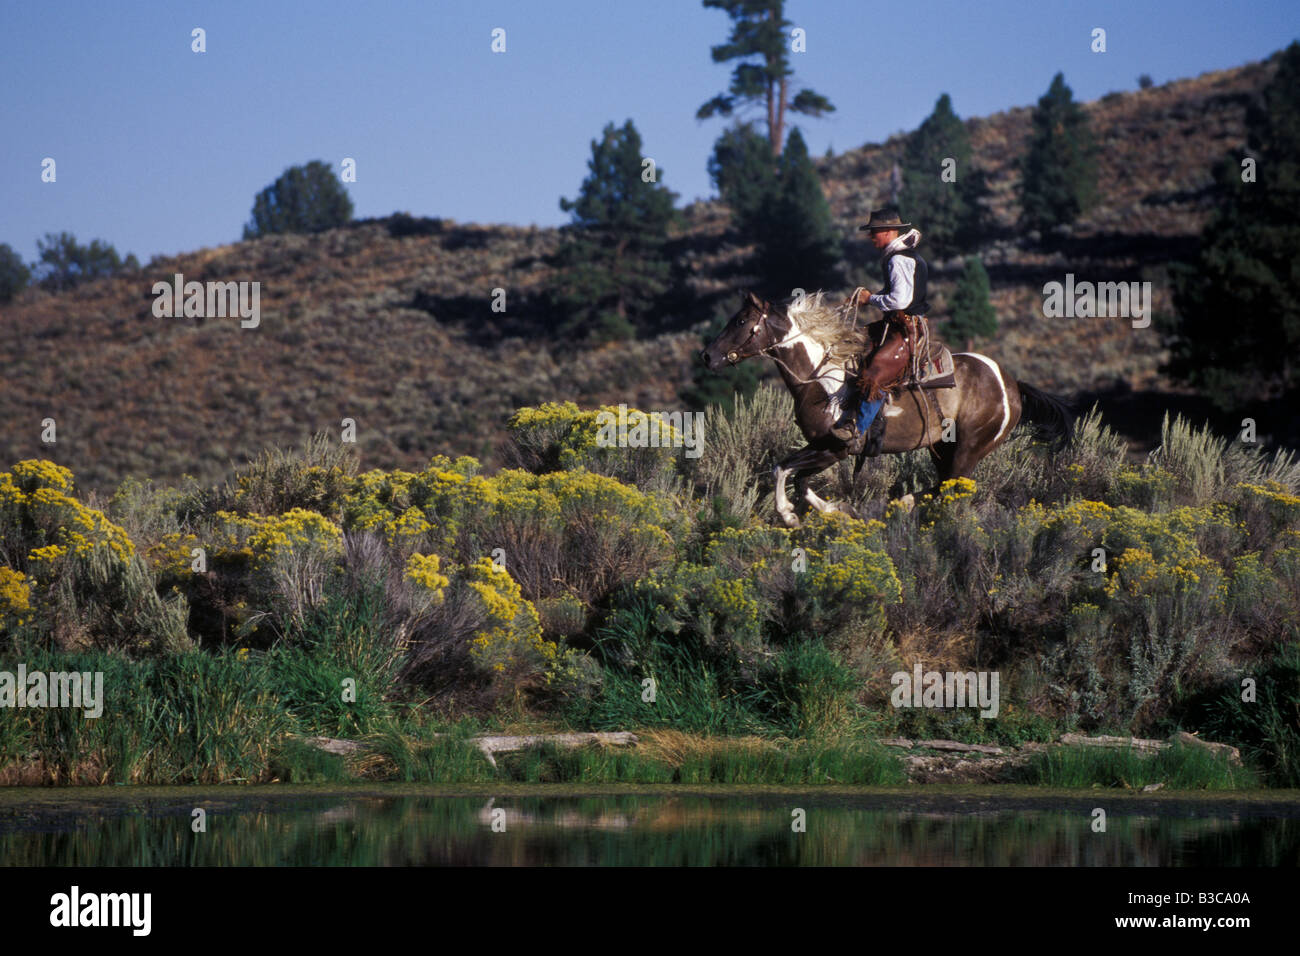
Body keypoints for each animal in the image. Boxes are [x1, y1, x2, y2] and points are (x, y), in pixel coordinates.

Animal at [702, 291, 1076, 530]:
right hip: (943, 448)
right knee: (944, 485)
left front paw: (790, 516)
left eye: (741, 320)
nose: (707, 356)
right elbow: (799, 479)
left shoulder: (835, 448)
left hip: (971, 447)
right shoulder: (822, 447)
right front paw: (838, 510)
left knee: (952, 487)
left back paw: (905, 504)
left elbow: (782, 470)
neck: (822, 379)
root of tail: (1010, 384)